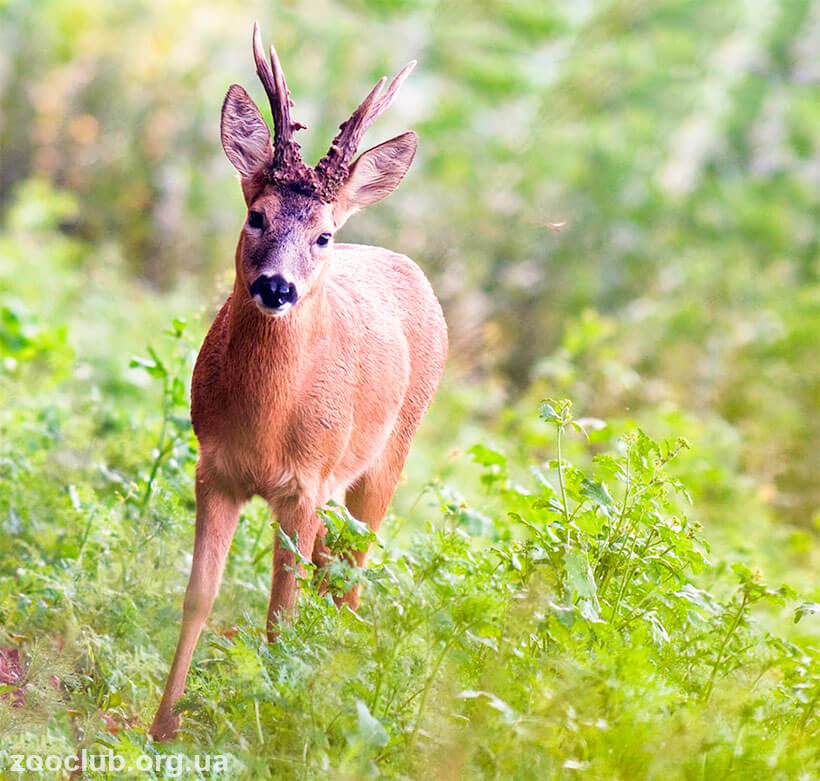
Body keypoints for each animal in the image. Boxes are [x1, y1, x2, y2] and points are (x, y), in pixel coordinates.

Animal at [154, 22, 448, 736]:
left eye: (323, 235)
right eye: (255, 215)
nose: (276, 287)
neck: (266, 425)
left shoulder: (306, 484)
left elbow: (279, 617)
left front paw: (262, 722)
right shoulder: (215, 469)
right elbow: (199, 594)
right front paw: (161, 727)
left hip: (386, 460)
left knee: (351, 575)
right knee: (332, 570)